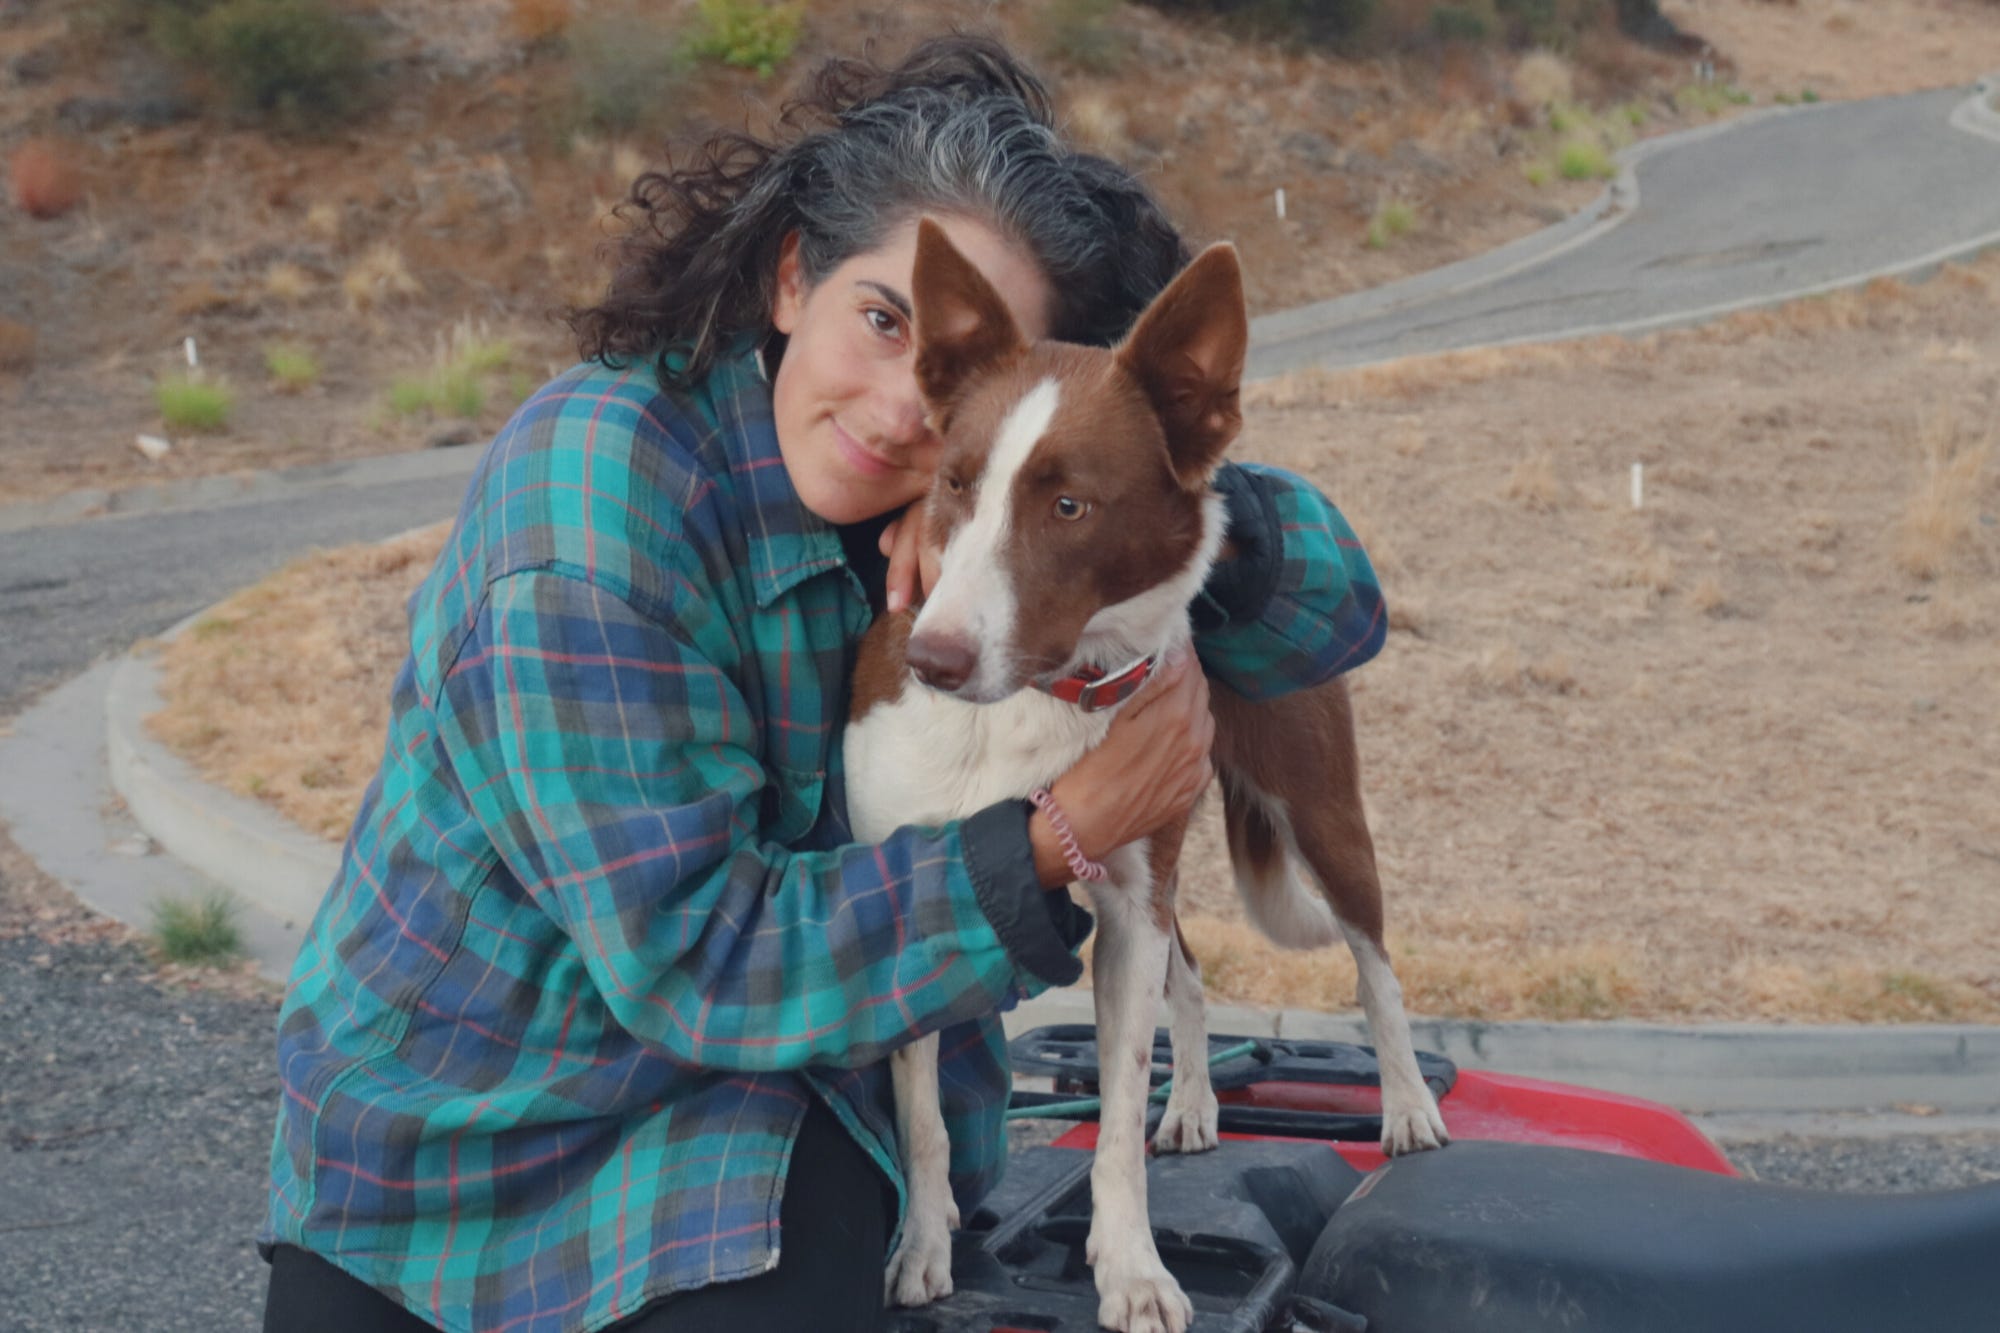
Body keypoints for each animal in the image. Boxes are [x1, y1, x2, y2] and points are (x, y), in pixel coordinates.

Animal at [842, 219, 1448, 1333]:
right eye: (955, 482)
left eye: (1069, 504)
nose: (933, 660)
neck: (1030, 706)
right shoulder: (909, 888)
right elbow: (921, 1110)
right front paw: (922, 1244)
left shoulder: (1125, 905)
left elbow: (1117, 1110)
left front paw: (1130, 1269)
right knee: (1196, 974)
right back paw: (1199, 1101)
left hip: (1320, 813)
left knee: (1371, 960)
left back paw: (1404, 1104)